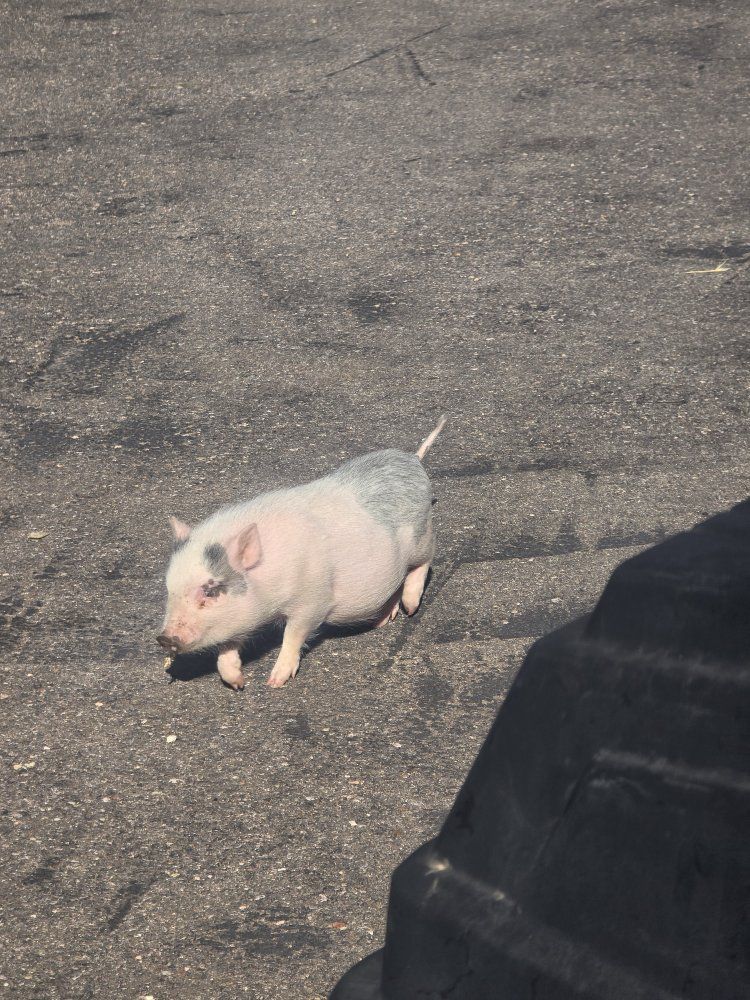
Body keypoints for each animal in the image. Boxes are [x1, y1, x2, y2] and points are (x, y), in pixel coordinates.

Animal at [157, 416, 447, 690]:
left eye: (210, 590)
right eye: (169, 589)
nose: (163, 637)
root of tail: (414, 461)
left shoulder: (313, 601)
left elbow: (293, 635)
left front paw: (275, 682)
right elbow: (227, 651)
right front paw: (239, 684)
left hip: (422, 537)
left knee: (426, 560)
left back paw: (411, 607)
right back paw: (383, 621)